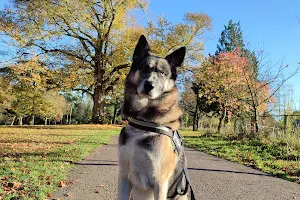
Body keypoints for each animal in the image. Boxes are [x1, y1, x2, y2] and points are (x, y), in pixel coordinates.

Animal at [118, 35, 192, 199]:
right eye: (144, 68)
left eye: (162, 73)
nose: (148, 85)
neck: (143, 122)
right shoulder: (124, 178)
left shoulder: (160, 183)